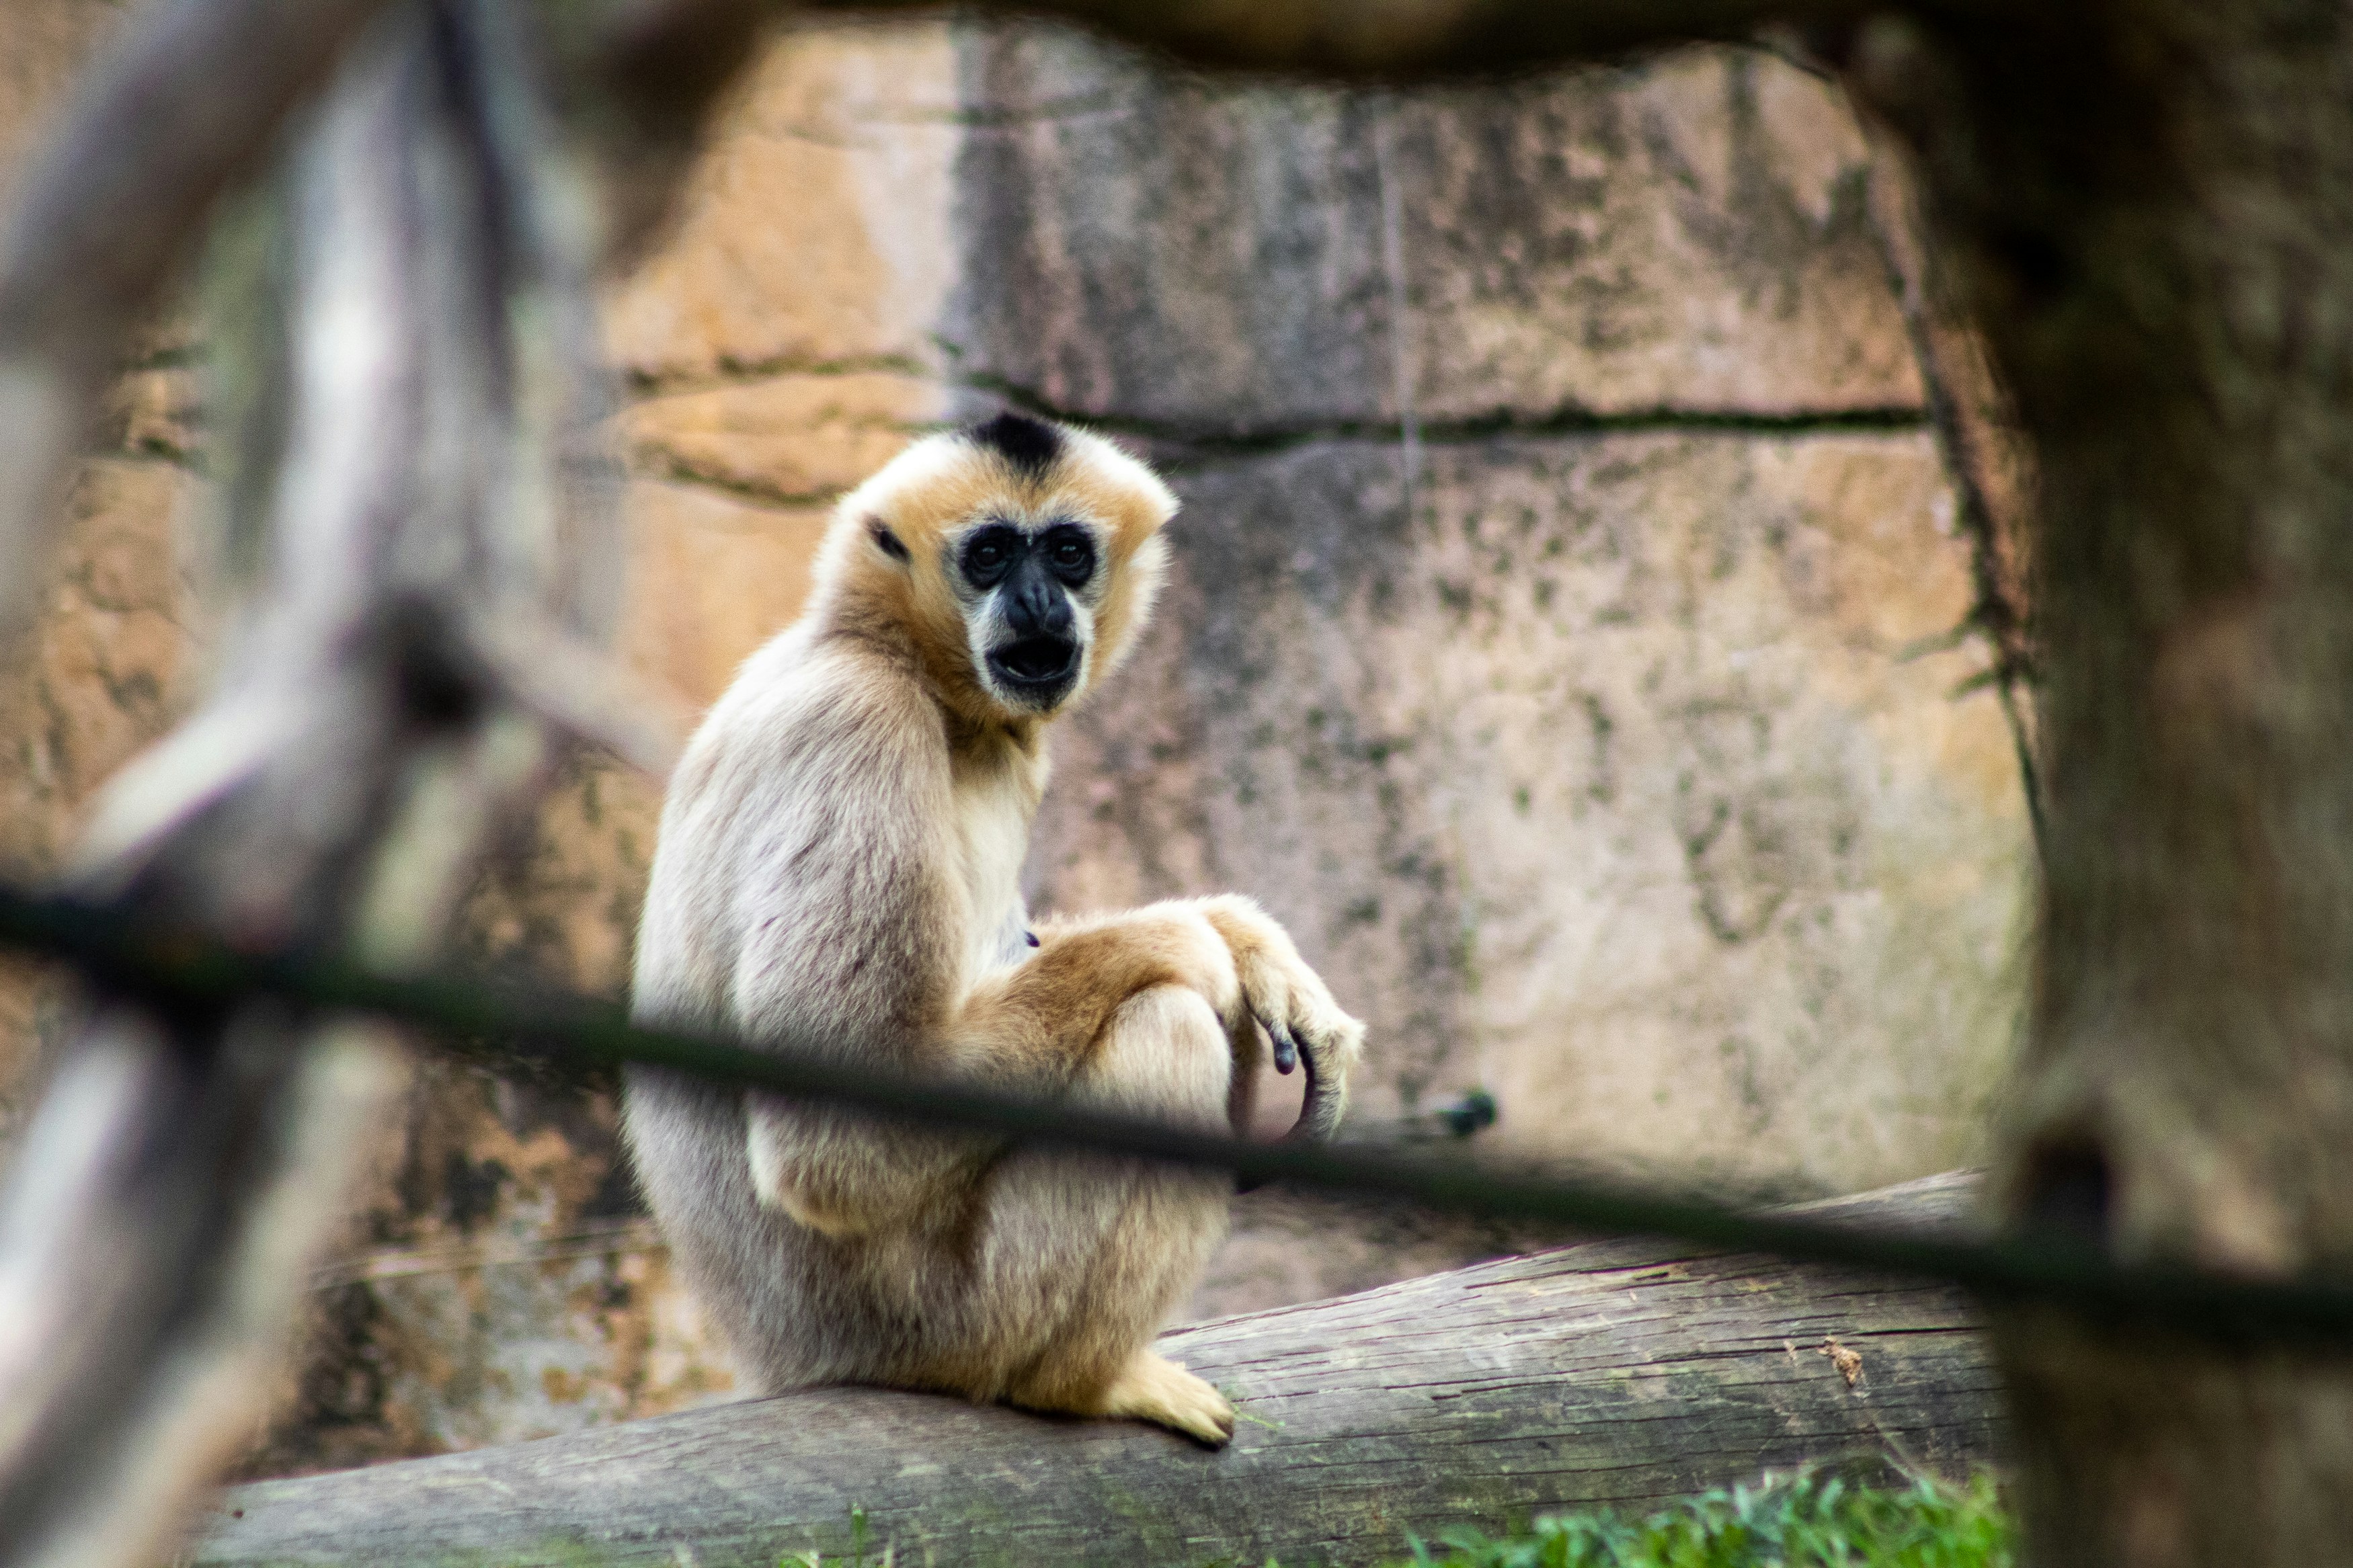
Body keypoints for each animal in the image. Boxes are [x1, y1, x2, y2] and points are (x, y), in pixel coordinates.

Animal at [623, 412, 1365, 1446]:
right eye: (987, 555)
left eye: (1065, 551)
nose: (1036, 599)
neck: (890, 656)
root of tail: (786, 1357)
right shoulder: (858, 727)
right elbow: (836, 1144)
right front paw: (1194, 940)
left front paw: (1250, 942)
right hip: (932, 1319)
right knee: (1166, 1029)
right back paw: (1081, 1382)